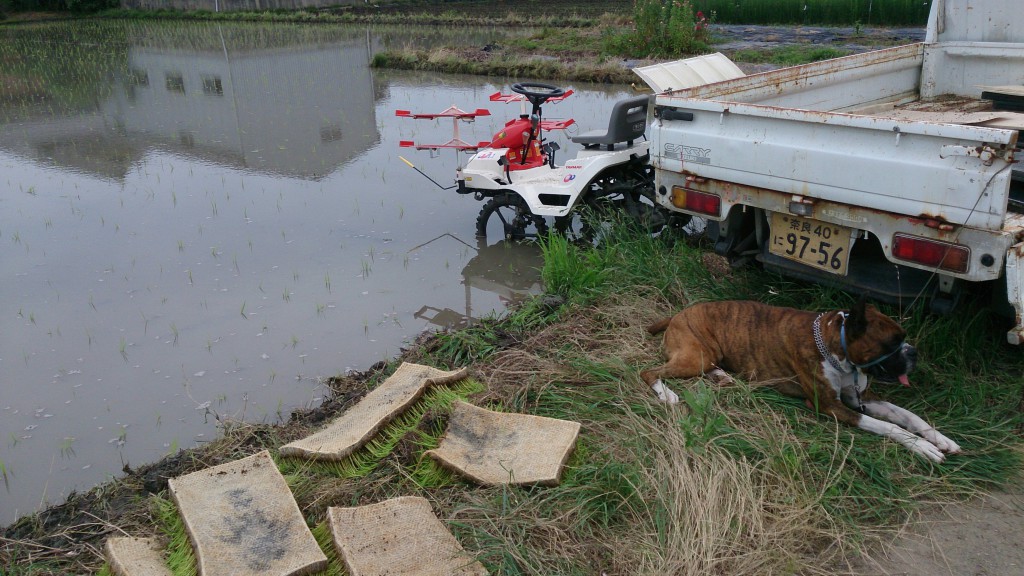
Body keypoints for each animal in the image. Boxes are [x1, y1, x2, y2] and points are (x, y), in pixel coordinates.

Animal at [643, 297, 962, 459]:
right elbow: (889, 426)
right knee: (648, 372)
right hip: (694, 358)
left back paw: (722, 377)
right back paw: (667, 394)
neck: (836, 345)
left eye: (903, 338)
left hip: (708, 356)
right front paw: (922, 447)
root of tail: (676, 315)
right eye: (892, 343)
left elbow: (907, 416)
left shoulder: (861, 398)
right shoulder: (833, 407)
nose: (914, 352)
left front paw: (940, 439)